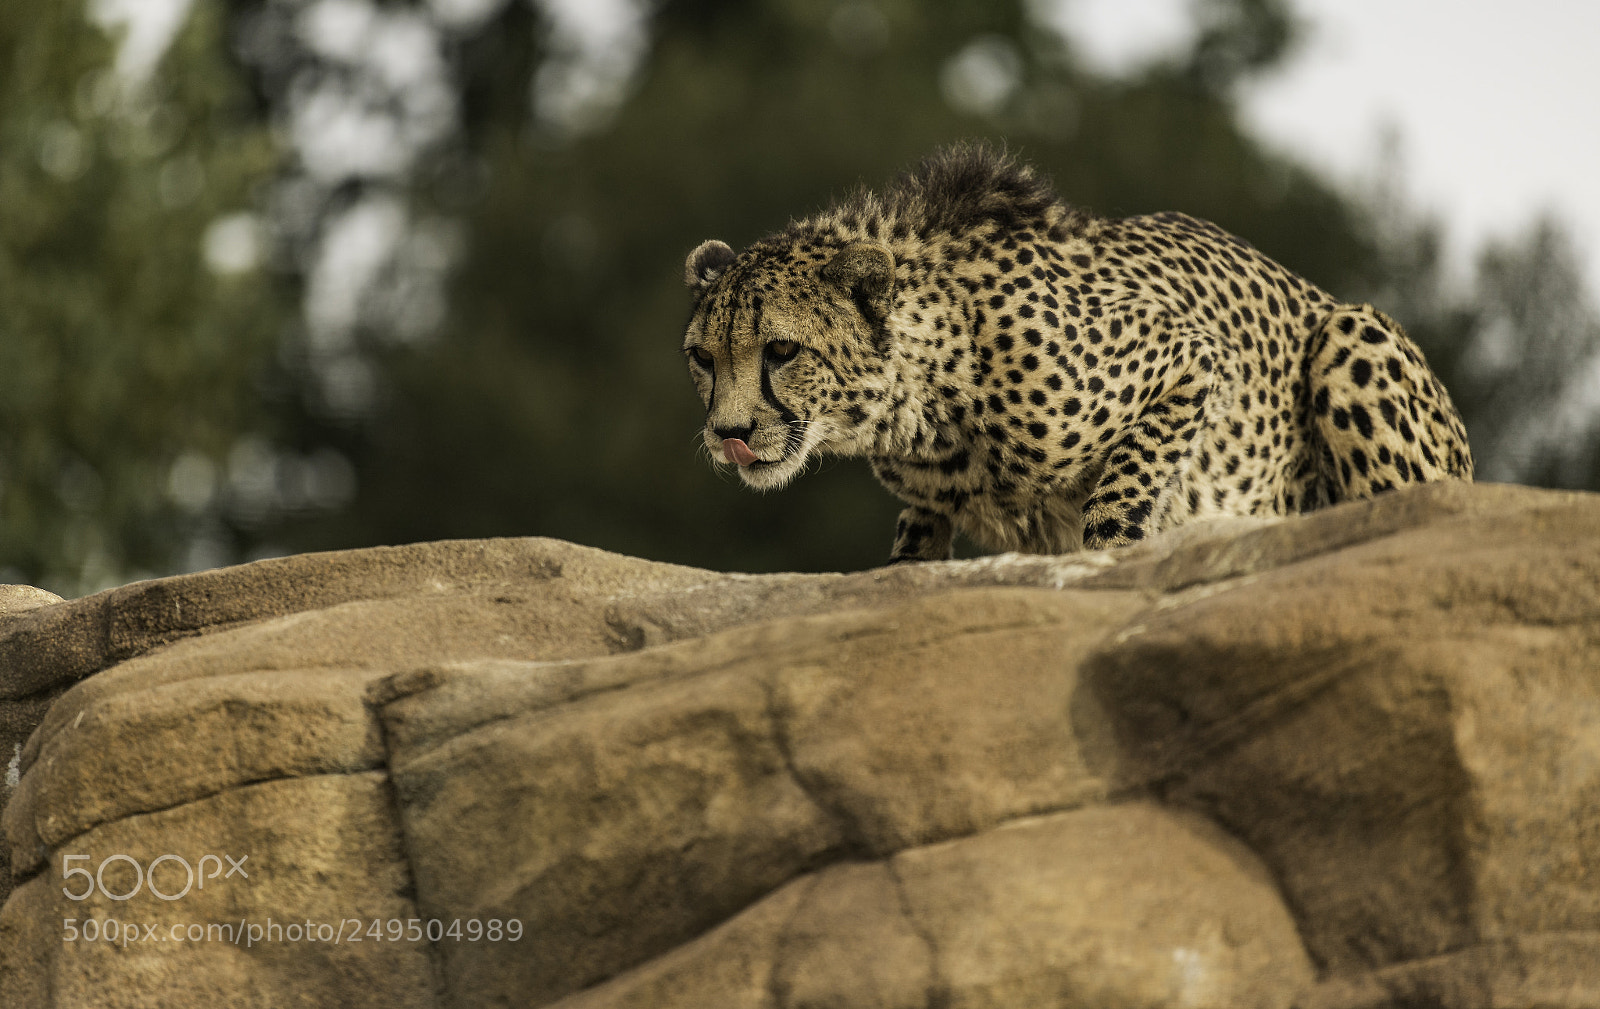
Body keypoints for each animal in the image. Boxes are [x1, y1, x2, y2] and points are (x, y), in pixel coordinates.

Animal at [680, 144, 1473, 563]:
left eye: (781, 349)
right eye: (702, 359)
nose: (729, 434)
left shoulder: (1188, 355)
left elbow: (1119, 498)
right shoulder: (928, 506)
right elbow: (911, 553)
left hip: (1352, 338)